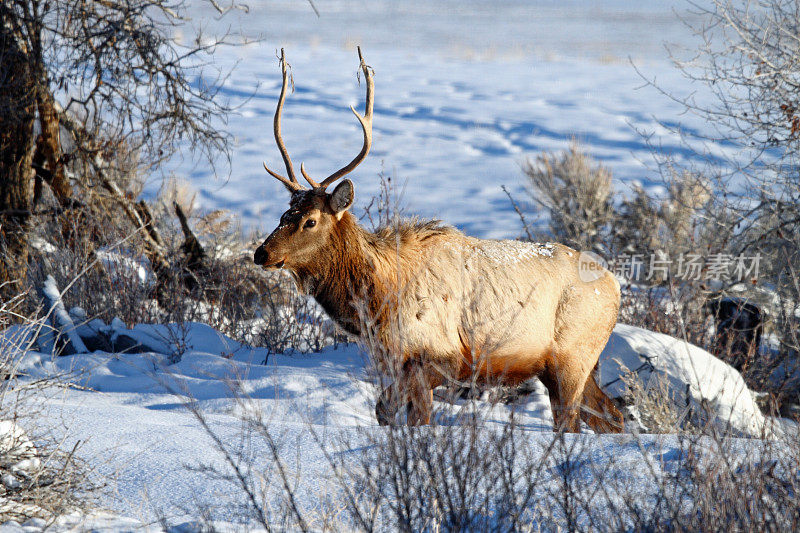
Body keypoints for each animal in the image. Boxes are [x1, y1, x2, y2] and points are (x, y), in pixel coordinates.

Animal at [256, 48, 624, 432]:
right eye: (285, 214)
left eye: (310, 221)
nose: (262, 253)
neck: (379, 299)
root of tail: (615, 286)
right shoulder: (394, 360)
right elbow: (384, 412)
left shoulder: (435, 358)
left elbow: (411, 417)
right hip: (576, 364)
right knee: (612, 416)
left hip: (573, 356)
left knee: (572, 421)